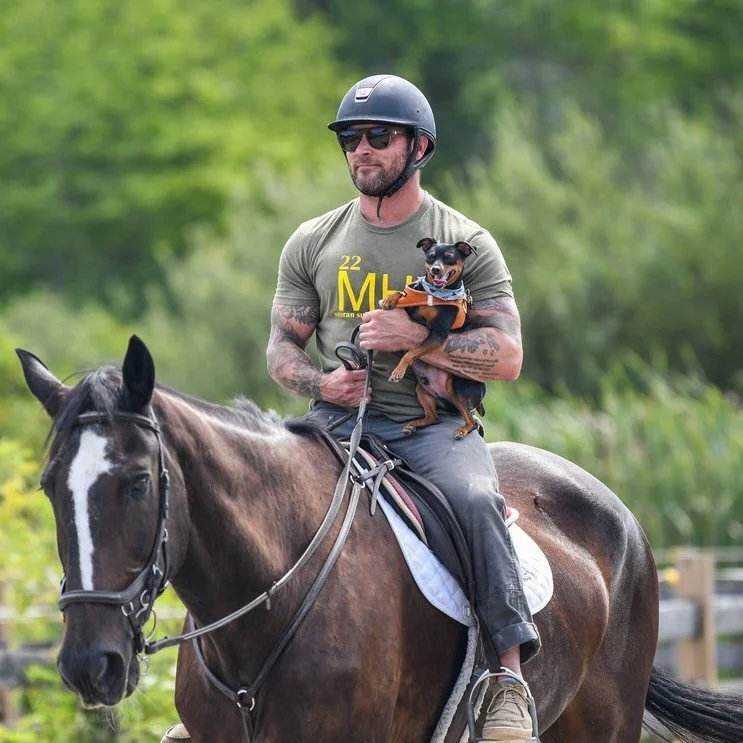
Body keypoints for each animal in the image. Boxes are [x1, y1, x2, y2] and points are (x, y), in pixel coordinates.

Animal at [15, 335, 743, 743]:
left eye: (138, 482)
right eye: (50, 486)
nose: (89, 665)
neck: (270, 600)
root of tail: (622, 521)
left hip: (603, 724)